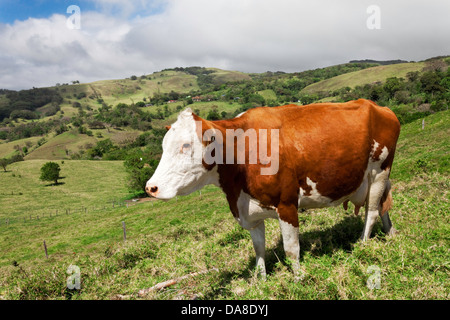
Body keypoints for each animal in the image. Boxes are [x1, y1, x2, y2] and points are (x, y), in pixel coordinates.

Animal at [147, 99, 400, 278]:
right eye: (163, 145)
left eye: (186, 145)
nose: (151, 187)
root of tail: (379, 107)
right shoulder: (250, 211)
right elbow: (259, 249)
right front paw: (260, 281)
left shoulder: (286, 204)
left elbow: (291, 249)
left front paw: (299, 279)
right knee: (383, 206)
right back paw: (390, 232)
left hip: (379, 171)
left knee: (372, 212)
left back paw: (362, 245)